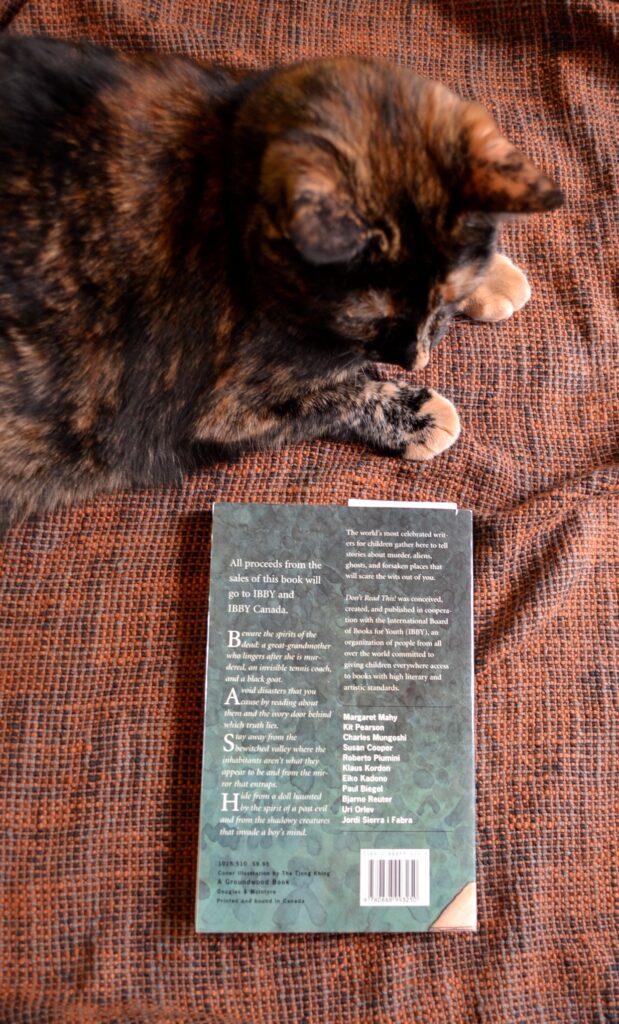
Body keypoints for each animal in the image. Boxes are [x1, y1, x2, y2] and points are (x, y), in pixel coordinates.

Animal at [0, 36, 561, 532]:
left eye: (446, 301)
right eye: (368, 321)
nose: (414, 360)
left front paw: (495, 276)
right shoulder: (217, 411)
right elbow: (338, 395)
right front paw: (419, 415)